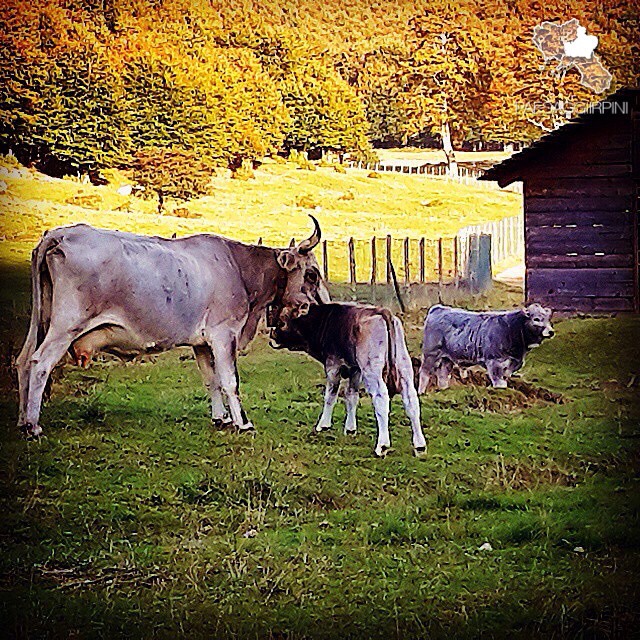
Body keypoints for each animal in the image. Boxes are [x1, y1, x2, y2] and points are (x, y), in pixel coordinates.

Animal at [16, 218, 328, 438]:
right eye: (312, 274)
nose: (326, 306)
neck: (238, 267)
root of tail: (62, 234)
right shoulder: (223, 334)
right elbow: (230, 381)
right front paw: (243, 423)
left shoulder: (201, 343)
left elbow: (211, 380)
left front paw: (220, 418)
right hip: (66, 324)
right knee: (40, 362)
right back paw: (33, 425)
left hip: (42, 321)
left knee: (23, 360)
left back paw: (22, 419)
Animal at [270, 302, 424, 458]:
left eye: (282, 322)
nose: (272, 336)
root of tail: (383, 312)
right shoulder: (355, 370)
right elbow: (351, 396)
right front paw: (350, 429)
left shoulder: (333, 365)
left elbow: (330, 396)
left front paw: (323, 425)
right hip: (404, 367)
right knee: (411, 400)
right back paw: (420, 446)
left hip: (372, 370)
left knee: (381, 399)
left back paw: (382, 446)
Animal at [418, 304, 552, 392]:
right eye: (536, 319)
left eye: (548, 319)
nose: (551, 332)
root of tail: (438, 308)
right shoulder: (495, 362)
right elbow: (499, 383)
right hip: (431, 353)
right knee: (424, 373)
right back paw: (421, 392)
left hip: (447, 358)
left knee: (443, 374)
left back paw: (444, 389)